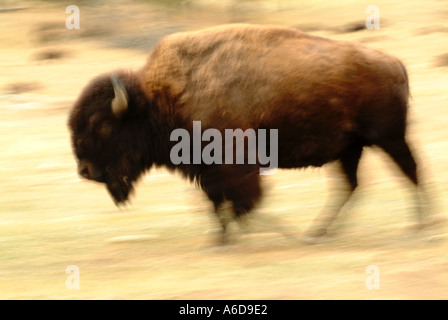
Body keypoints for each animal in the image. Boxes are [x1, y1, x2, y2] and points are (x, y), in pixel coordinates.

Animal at [68, 23, 428, 242]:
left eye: (101, 124)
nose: (85, 171)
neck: (162, 97)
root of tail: (395, 64)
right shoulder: (208, 171)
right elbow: (218, 204)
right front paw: (222, 240)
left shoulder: (235, 165)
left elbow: (242, 201)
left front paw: (241, 236)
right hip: (351, 148)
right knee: (351, 185)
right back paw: (318, 232)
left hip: (389, 138)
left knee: (410, 172)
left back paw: (422, 225)